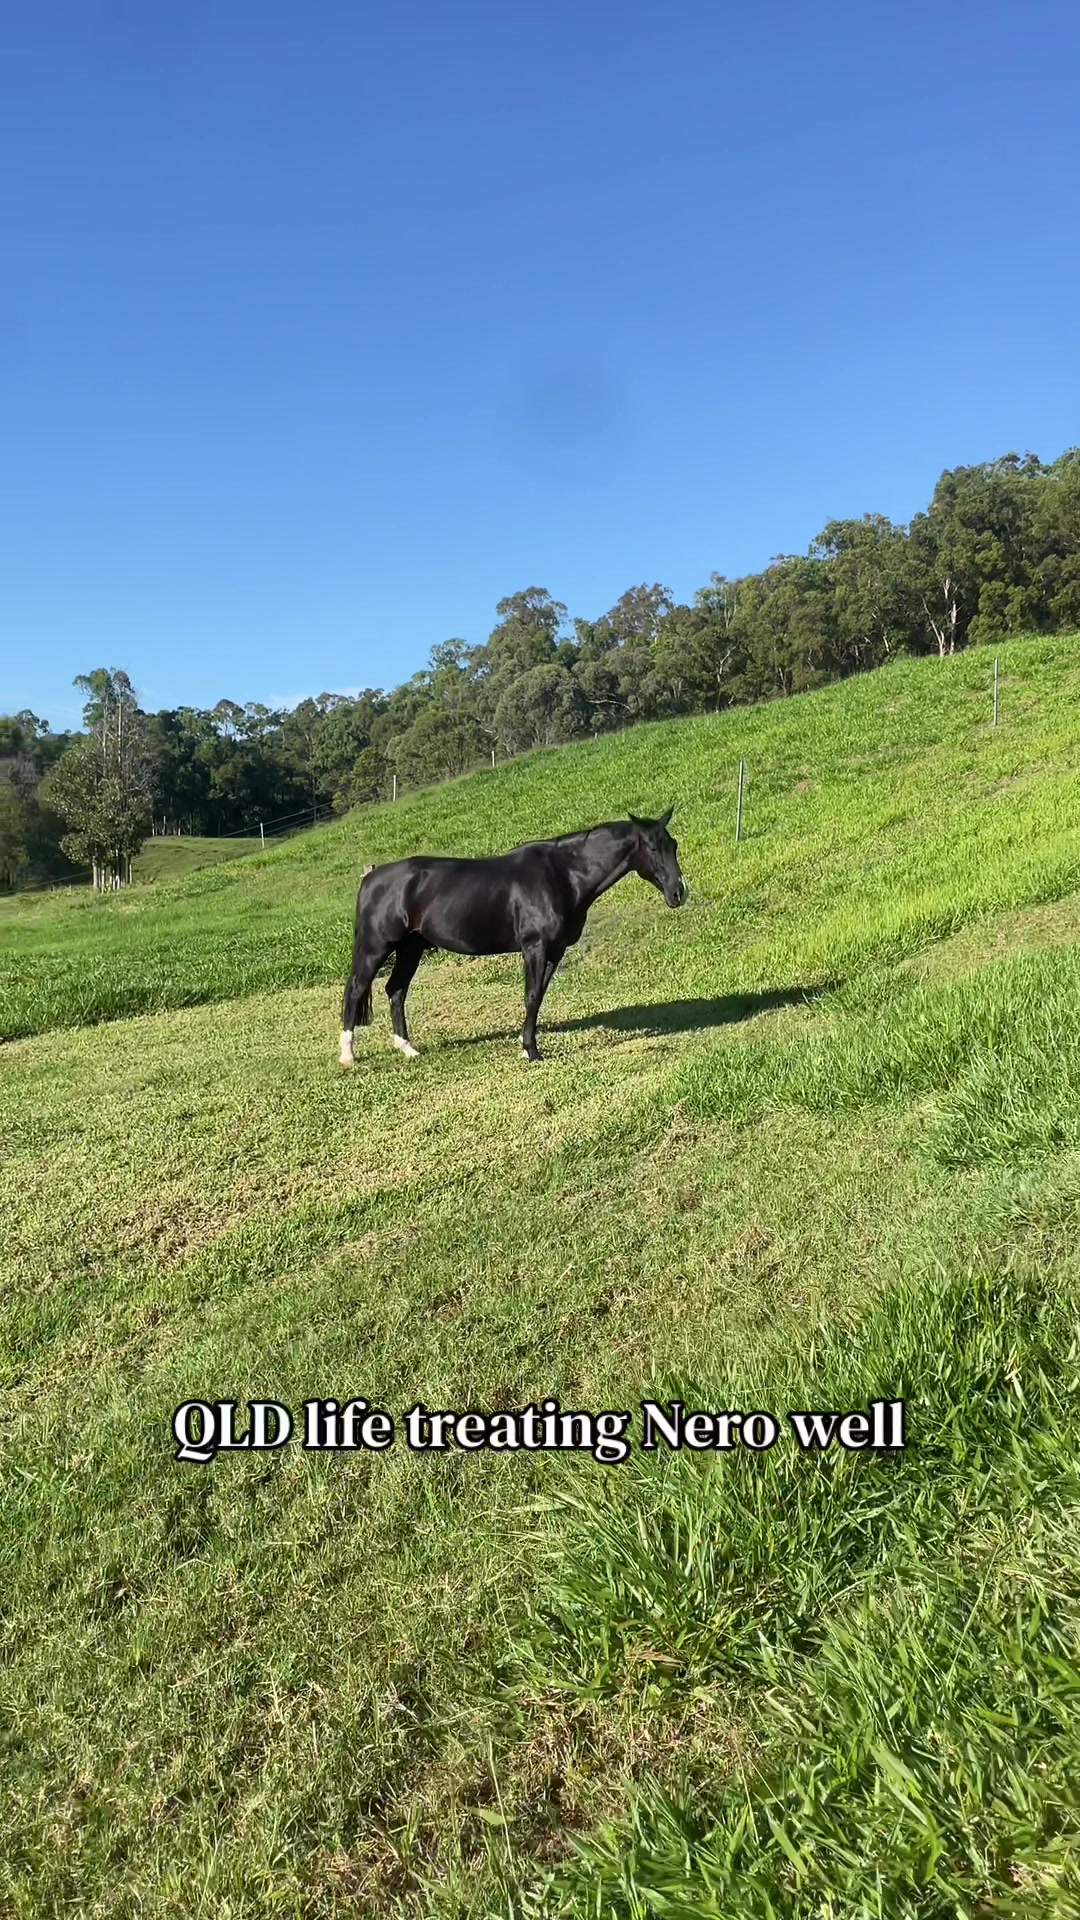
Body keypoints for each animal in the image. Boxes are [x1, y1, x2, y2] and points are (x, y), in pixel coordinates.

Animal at [338, 810, 687, 1068]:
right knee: (355, 990)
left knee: (396, 990)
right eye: (652, 848)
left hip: (411, 949)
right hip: (375, 948)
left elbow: (539, 996)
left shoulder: (555, 951)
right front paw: (531, 1051)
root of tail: (371, 879)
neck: (562, 875)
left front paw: (526, 1044)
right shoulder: (534, 947)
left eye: (674, 845)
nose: (678, 893)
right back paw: (348, 1056)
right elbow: (531, 996)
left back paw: (408, 1049)